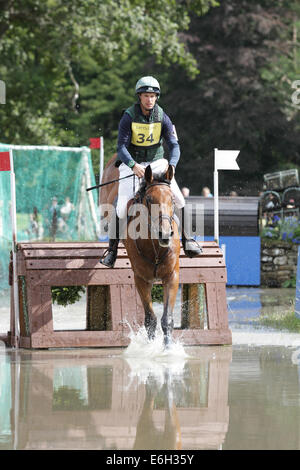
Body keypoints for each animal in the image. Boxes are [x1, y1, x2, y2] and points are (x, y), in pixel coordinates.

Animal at [101, 155, 180, 346]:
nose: (164, 234)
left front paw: (168, 350)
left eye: (172, 199)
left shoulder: (171, 276)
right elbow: (150, 319)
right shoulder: (142, 279)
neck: (155, 247)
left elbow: (167, 319)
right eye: (150, 199)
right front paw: (150, 348)